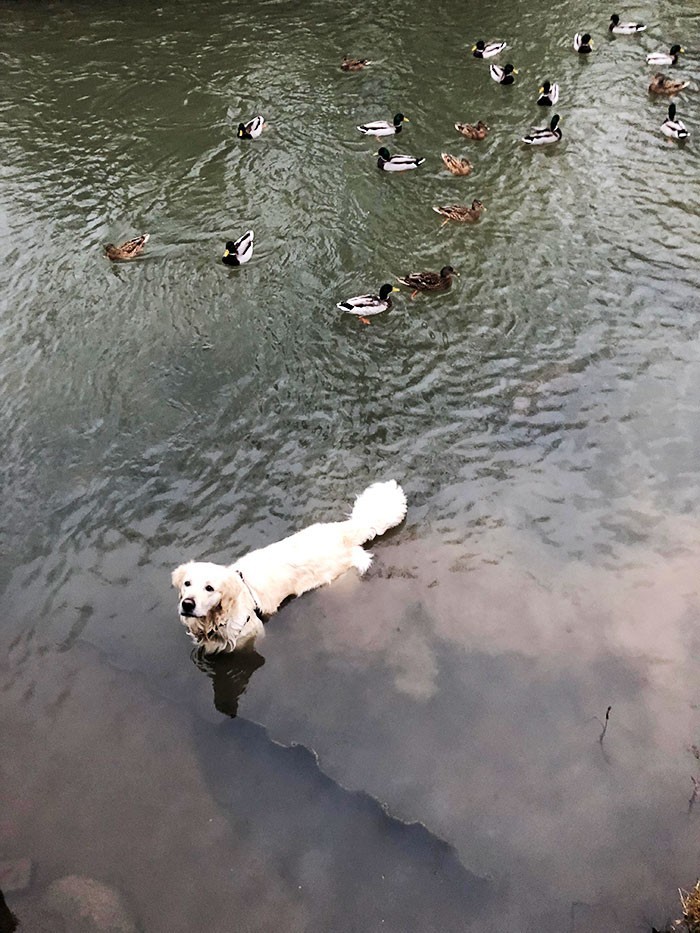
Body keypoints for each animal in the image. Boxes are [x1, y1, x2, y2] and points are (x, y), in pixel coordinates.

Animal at [172, 476, 408, 652]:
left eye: (209, 588)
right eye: (187, 584)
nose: (187, 604)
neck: (216, 619)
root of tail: (344, 532)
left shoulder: (251, 635)